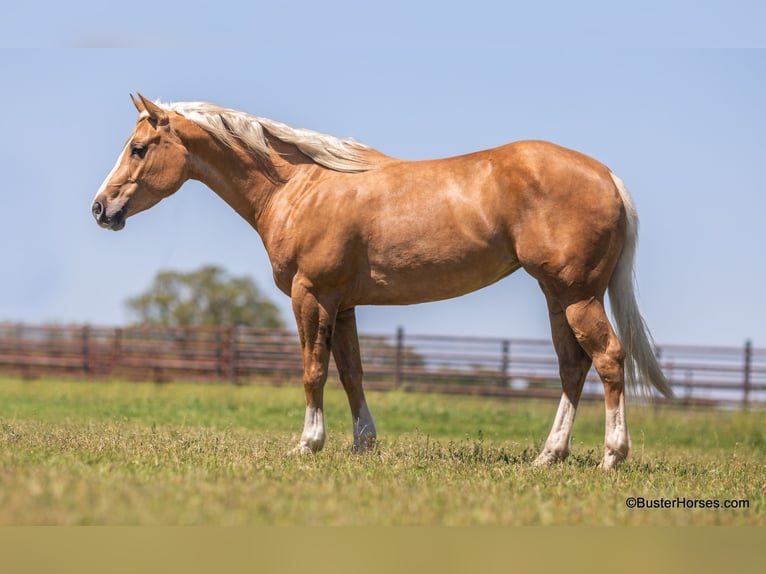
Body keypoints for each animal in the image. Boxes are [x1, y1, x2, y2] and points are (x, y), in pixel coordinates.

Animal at [91, 94, 672, 470]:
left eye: (138, 148)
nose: (100, 209)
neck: (299, 186)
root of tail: (606, 176)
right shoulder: (343, 303)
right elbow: (351, 373)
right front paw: (362, 445)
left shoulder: (311, 296)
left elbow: (313, 372)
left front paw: (309, 444)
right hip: (558, 297)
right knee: (573, 367)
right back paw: (548, 456)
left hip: (577, 295)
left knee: (608, 358)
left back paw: (612, 457)